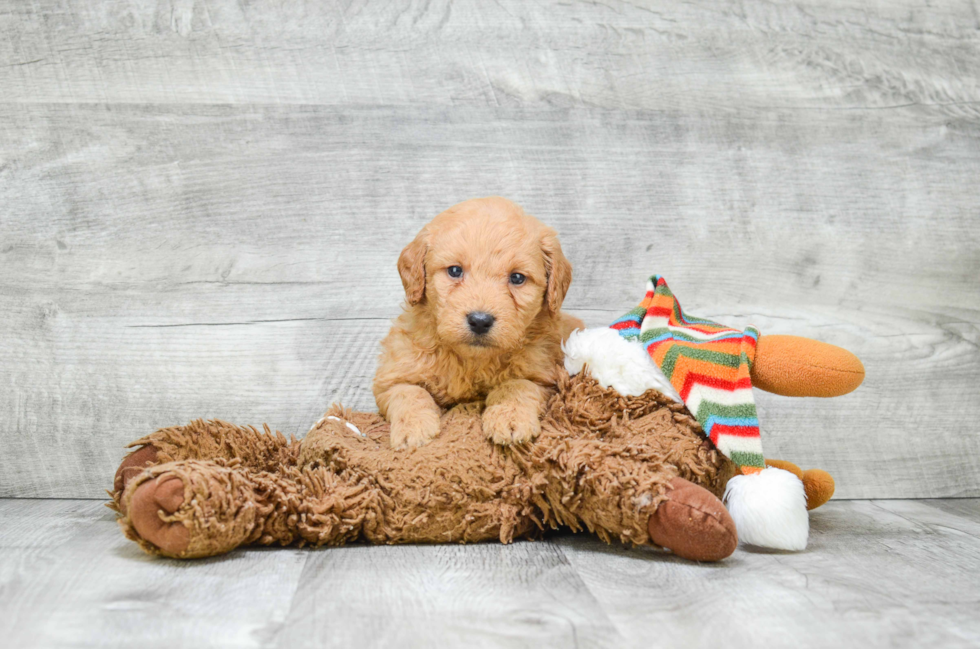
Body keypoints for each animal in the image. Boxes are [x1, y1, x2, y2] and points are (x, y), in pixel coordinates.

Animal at [376, 197, 580, 448]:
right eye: (455, 270)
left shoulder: (545, 377)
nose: (480, 321)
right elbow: (409, 392)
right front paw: (413, 428)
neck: (472, 360)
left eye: (517, 278)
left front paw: (510, 418)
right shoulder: (391, 377)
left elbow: (516, 385)